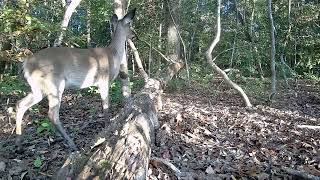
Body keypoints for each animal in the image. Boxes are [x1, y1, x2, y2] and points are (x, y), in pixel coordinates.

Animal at [15, 8, 135, 152]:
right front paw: (107, 128)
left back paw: (19, 143)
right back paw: (72, 144)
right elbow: (106, 106)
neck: (113, 54)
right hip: (54, 84)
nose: (134, 35)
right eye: (129, 25)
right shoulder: (103, 79)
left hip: (38, 88)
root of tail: (26, 64)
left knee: (20, 104)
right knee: (52, 114)